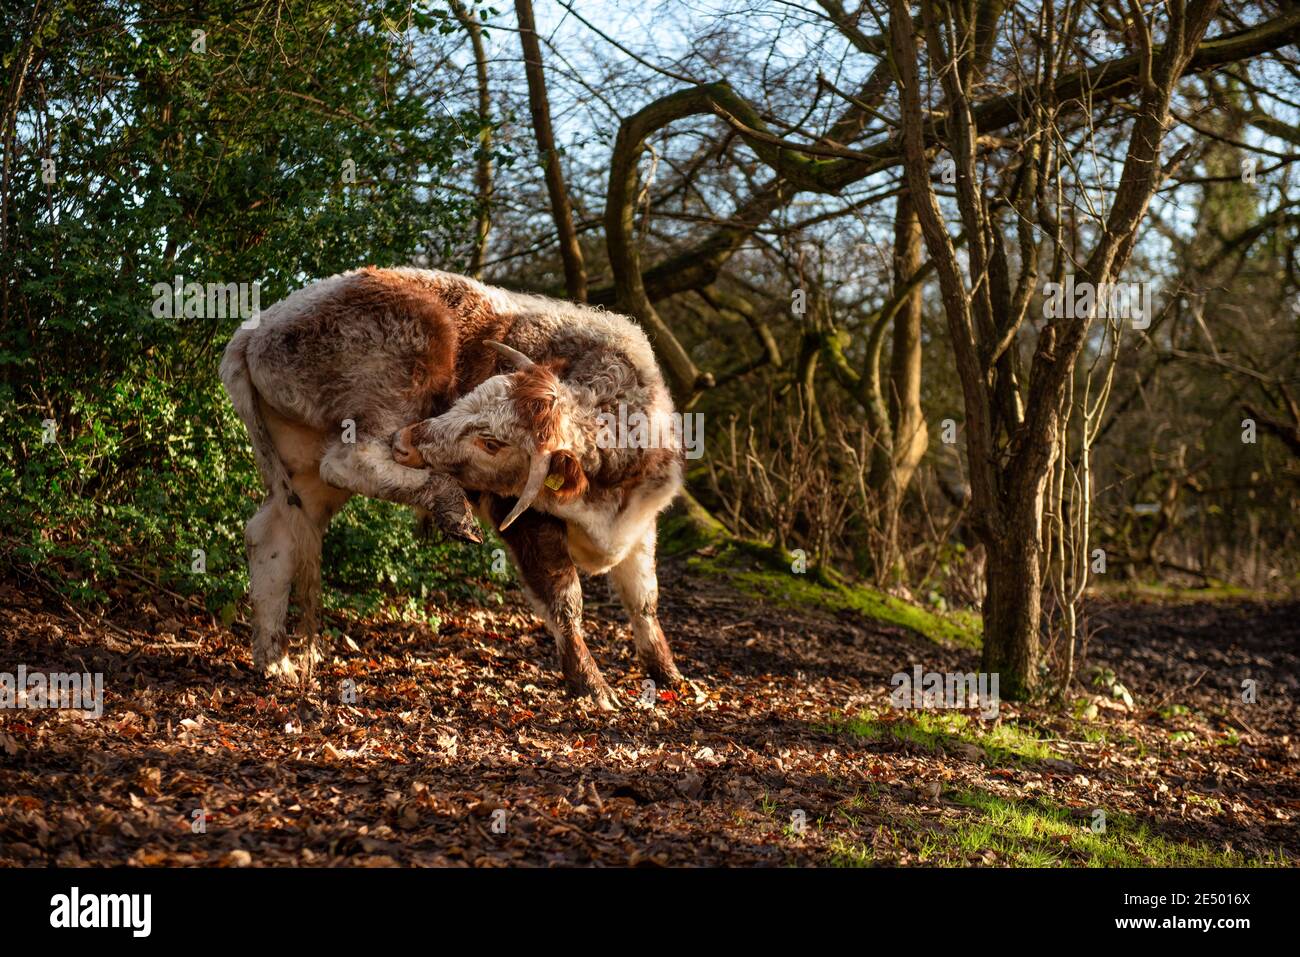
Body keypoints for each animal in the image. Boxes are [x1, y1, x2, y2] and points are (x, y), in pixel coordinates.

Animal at [220, 265, 691, 707]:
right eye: (469, 396)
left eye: (492, 442)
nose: (409, 440)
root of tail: (256, 328)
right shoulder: (523, 517)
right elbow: (566, 599)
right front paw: (592, 686)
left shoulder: (641, 524)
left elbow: (644, 599)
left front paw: (669, 675)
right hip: (402, 371)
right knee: (346, 462)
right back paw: (449, 504)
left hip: (301, 475)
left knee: (272, 536)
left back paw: (274, 662)